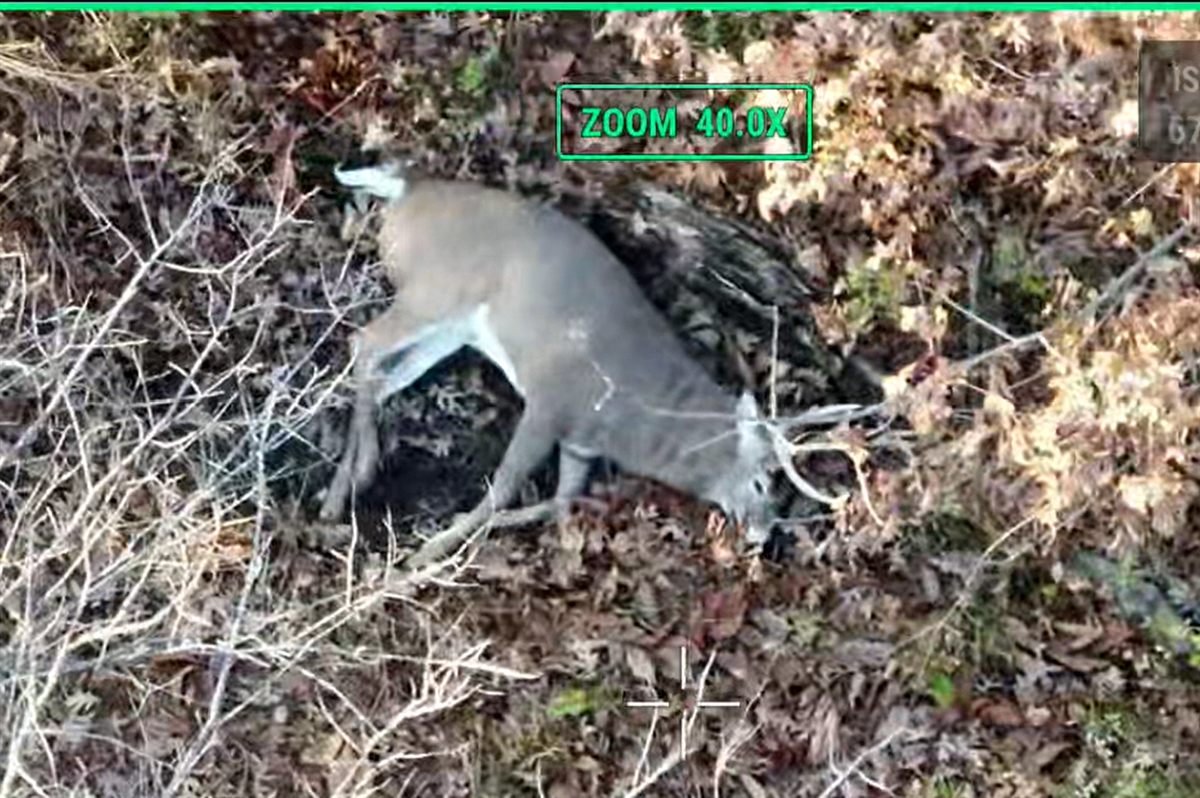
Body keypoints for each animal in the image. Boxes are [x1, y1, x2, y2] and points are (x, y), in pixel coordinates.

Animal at [319, 160, 789, 568]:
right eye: (762, 480)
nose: (764, 532)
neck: (637, 418)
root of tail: (407, 187)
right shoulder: (550, 404)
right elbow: (504, 487)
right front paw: (428, 553)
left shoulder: (580, 444)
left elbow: (560, 500)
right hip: (436, 290)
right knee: (364, 341)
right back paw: (348, 485)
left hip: (453, 329)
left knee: (383, 375)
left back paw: (350, 480)